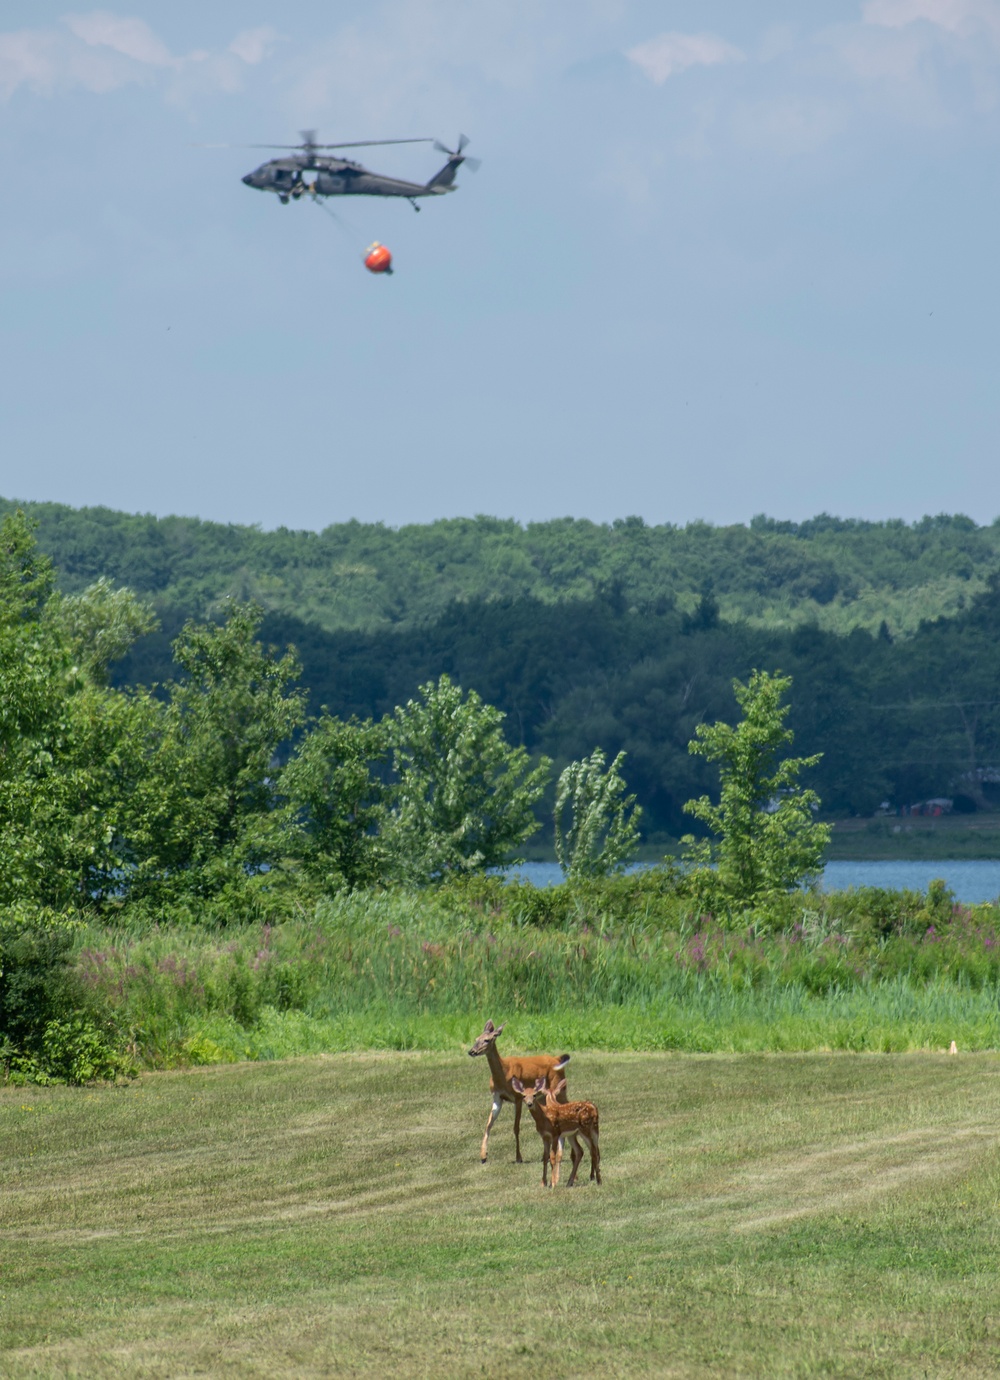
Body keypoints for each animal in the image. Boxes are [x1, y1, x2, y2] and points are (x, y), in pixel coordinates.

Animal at [468, 1021, 568, 1159]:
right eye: (476, 1039)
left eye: (487, 1040)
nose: (471, 1051)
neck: (503, 1074)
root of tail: (558, 1058)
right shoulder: (497, 1097)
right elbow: (488, 1124)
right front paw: (483, 1155)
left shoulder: (518, 1097)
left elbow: (516, 1127)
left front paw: (518, 1157)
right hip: (544, 1096)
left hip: (559, 1088)